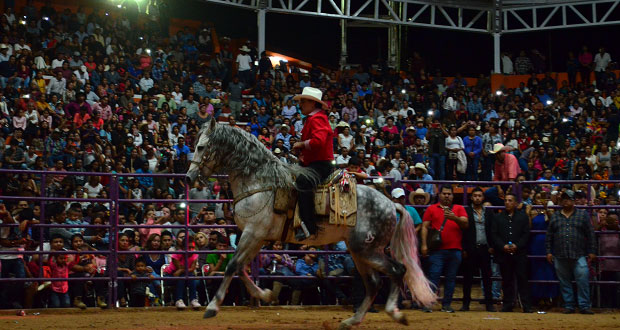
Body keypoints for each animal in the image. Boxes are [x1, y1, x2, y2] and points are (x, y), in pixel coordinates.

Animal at [186, 118, 434, 328]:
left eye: (201, 147)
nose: (188, 178)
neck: (259, 181)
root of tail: (391, 204)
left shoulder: (253, 233)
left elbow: (232, 266)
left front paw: (212, 307)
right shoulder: (256, 237)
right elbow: (240, 267)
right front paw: (265, 294)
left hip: (367, 250)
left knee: (396, 270)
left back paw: (394, 313)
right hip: (359, 251)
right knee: (374, 283)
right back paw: (352, 321)